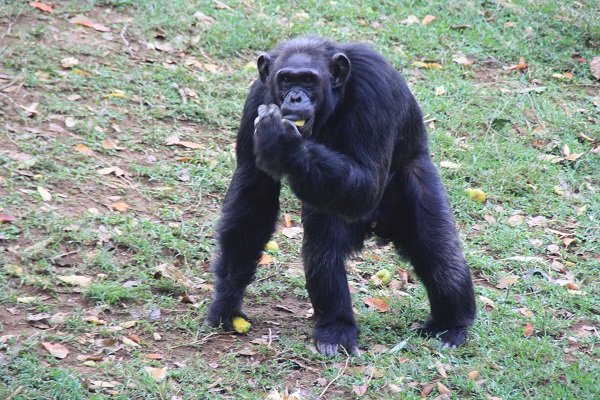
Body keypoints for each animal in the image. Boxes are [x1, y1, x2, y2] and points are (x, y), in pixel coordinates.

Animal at [206, 38, 474, 356]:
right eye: (286, 79)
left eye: (308, 79)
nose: (295, 97)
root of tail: (377, 228)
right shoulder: (256, 100)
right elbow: (253, 197)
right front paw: (227, 301)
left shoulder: (376, 89)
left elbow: (369, 181)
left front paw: (284, 144)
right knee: (325, 243)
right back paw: (336, 329)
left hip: (415, 181)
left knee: (437, 251)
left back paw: (451, 324)